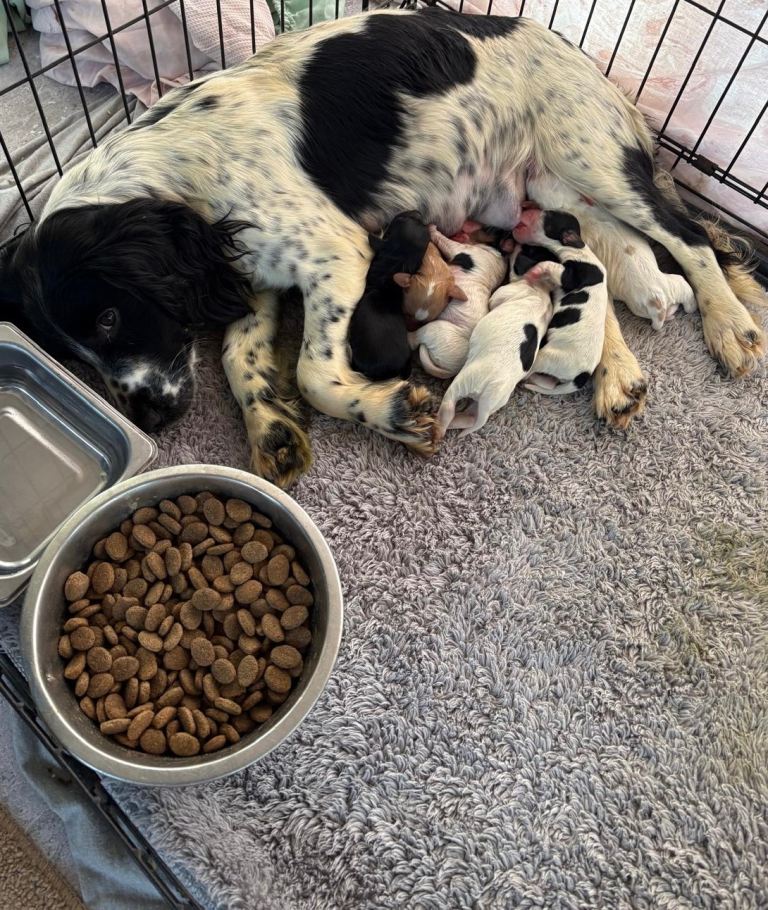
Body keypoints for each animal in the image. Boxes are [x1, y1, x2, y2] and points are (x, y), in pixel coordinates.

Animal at [408, 227, 507, 378]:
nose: (502, 230)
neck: (494, 251)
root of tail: (452, 370)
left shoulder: (461, 249)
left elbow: (445, 240)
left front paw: (432, 228)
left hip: (436, 330)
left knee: (414, 340)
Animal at [437, 264, 556, 436]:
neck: (541, 290)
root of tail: (488, 394)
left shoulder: (505, 293)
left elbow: (493, 300)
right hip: (494, 402)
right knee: (469, 419)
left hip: (462, 383)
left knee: (447, 409)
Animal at [512, 209, 609, 394]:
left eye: (549, 217)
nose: (526, 209)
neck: (577, 248)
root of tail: (582, 376)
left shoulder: (572, 277)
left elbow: (550, 264)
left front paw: (535, 270)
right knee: (548, 382)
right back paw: (531, 383)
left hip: (546, 357)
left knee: (533, 370)